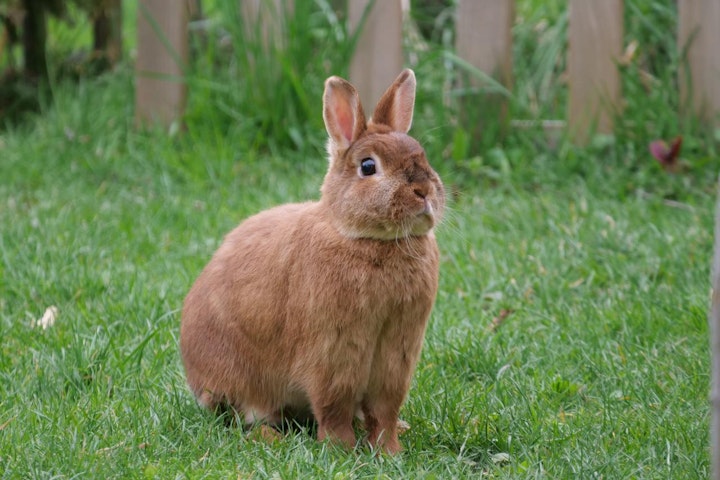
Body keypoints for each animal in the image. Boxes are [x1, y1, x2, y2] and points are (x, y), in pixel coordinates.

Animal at [180, 68, 444, 454]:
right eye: (368, 166)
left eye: (423, 156)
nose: (424, 191)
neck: (367, 240)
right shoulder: (333, 352)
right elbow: (334, 406)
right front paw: (341, 449)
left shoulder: (397, 355)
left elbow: (384, 409)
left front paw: (389, 451)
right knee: (245, 416)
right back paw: (270, 437)